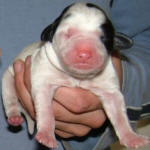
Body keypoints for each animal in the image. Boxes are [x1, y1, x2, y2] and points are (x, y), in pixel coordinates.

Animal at [2, 2, 149, 149]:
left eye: (103, 38)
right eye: (68, 34)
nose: (84, 53)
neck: (76, 76)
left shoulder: (110, 89)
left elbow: (120, 114)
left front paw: (131, 136)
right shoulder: (43, 80)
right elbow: (46, 110)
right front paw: (46, 135)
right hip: (8, 79)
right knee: (10, 99)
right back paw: (14, 116)